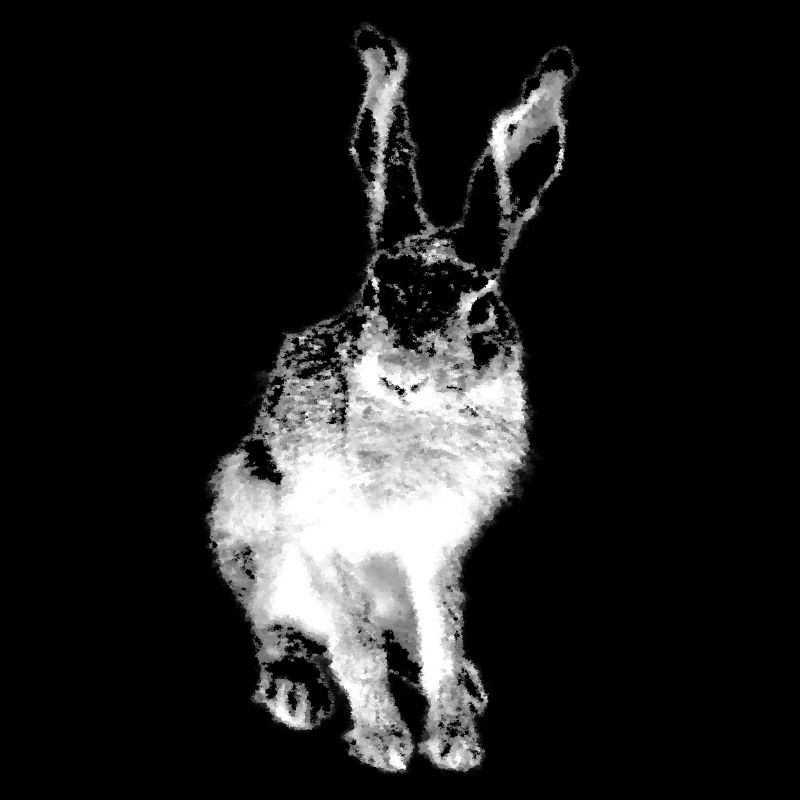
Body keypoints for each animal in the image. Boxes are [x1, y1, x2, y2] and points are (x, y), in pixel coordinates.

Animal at [208, 24, 576, 772]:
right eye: (376, 288)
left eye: (481, 304)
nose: (402, 374)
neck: (416, 424)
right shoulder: (323, 539)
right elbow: (355, 648)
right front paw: (383, 742)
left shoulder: (436, 549)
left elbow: (442, 635)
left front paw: (456, 738)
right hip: (250, 527)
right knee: (278, 625)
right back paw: (295, 686)